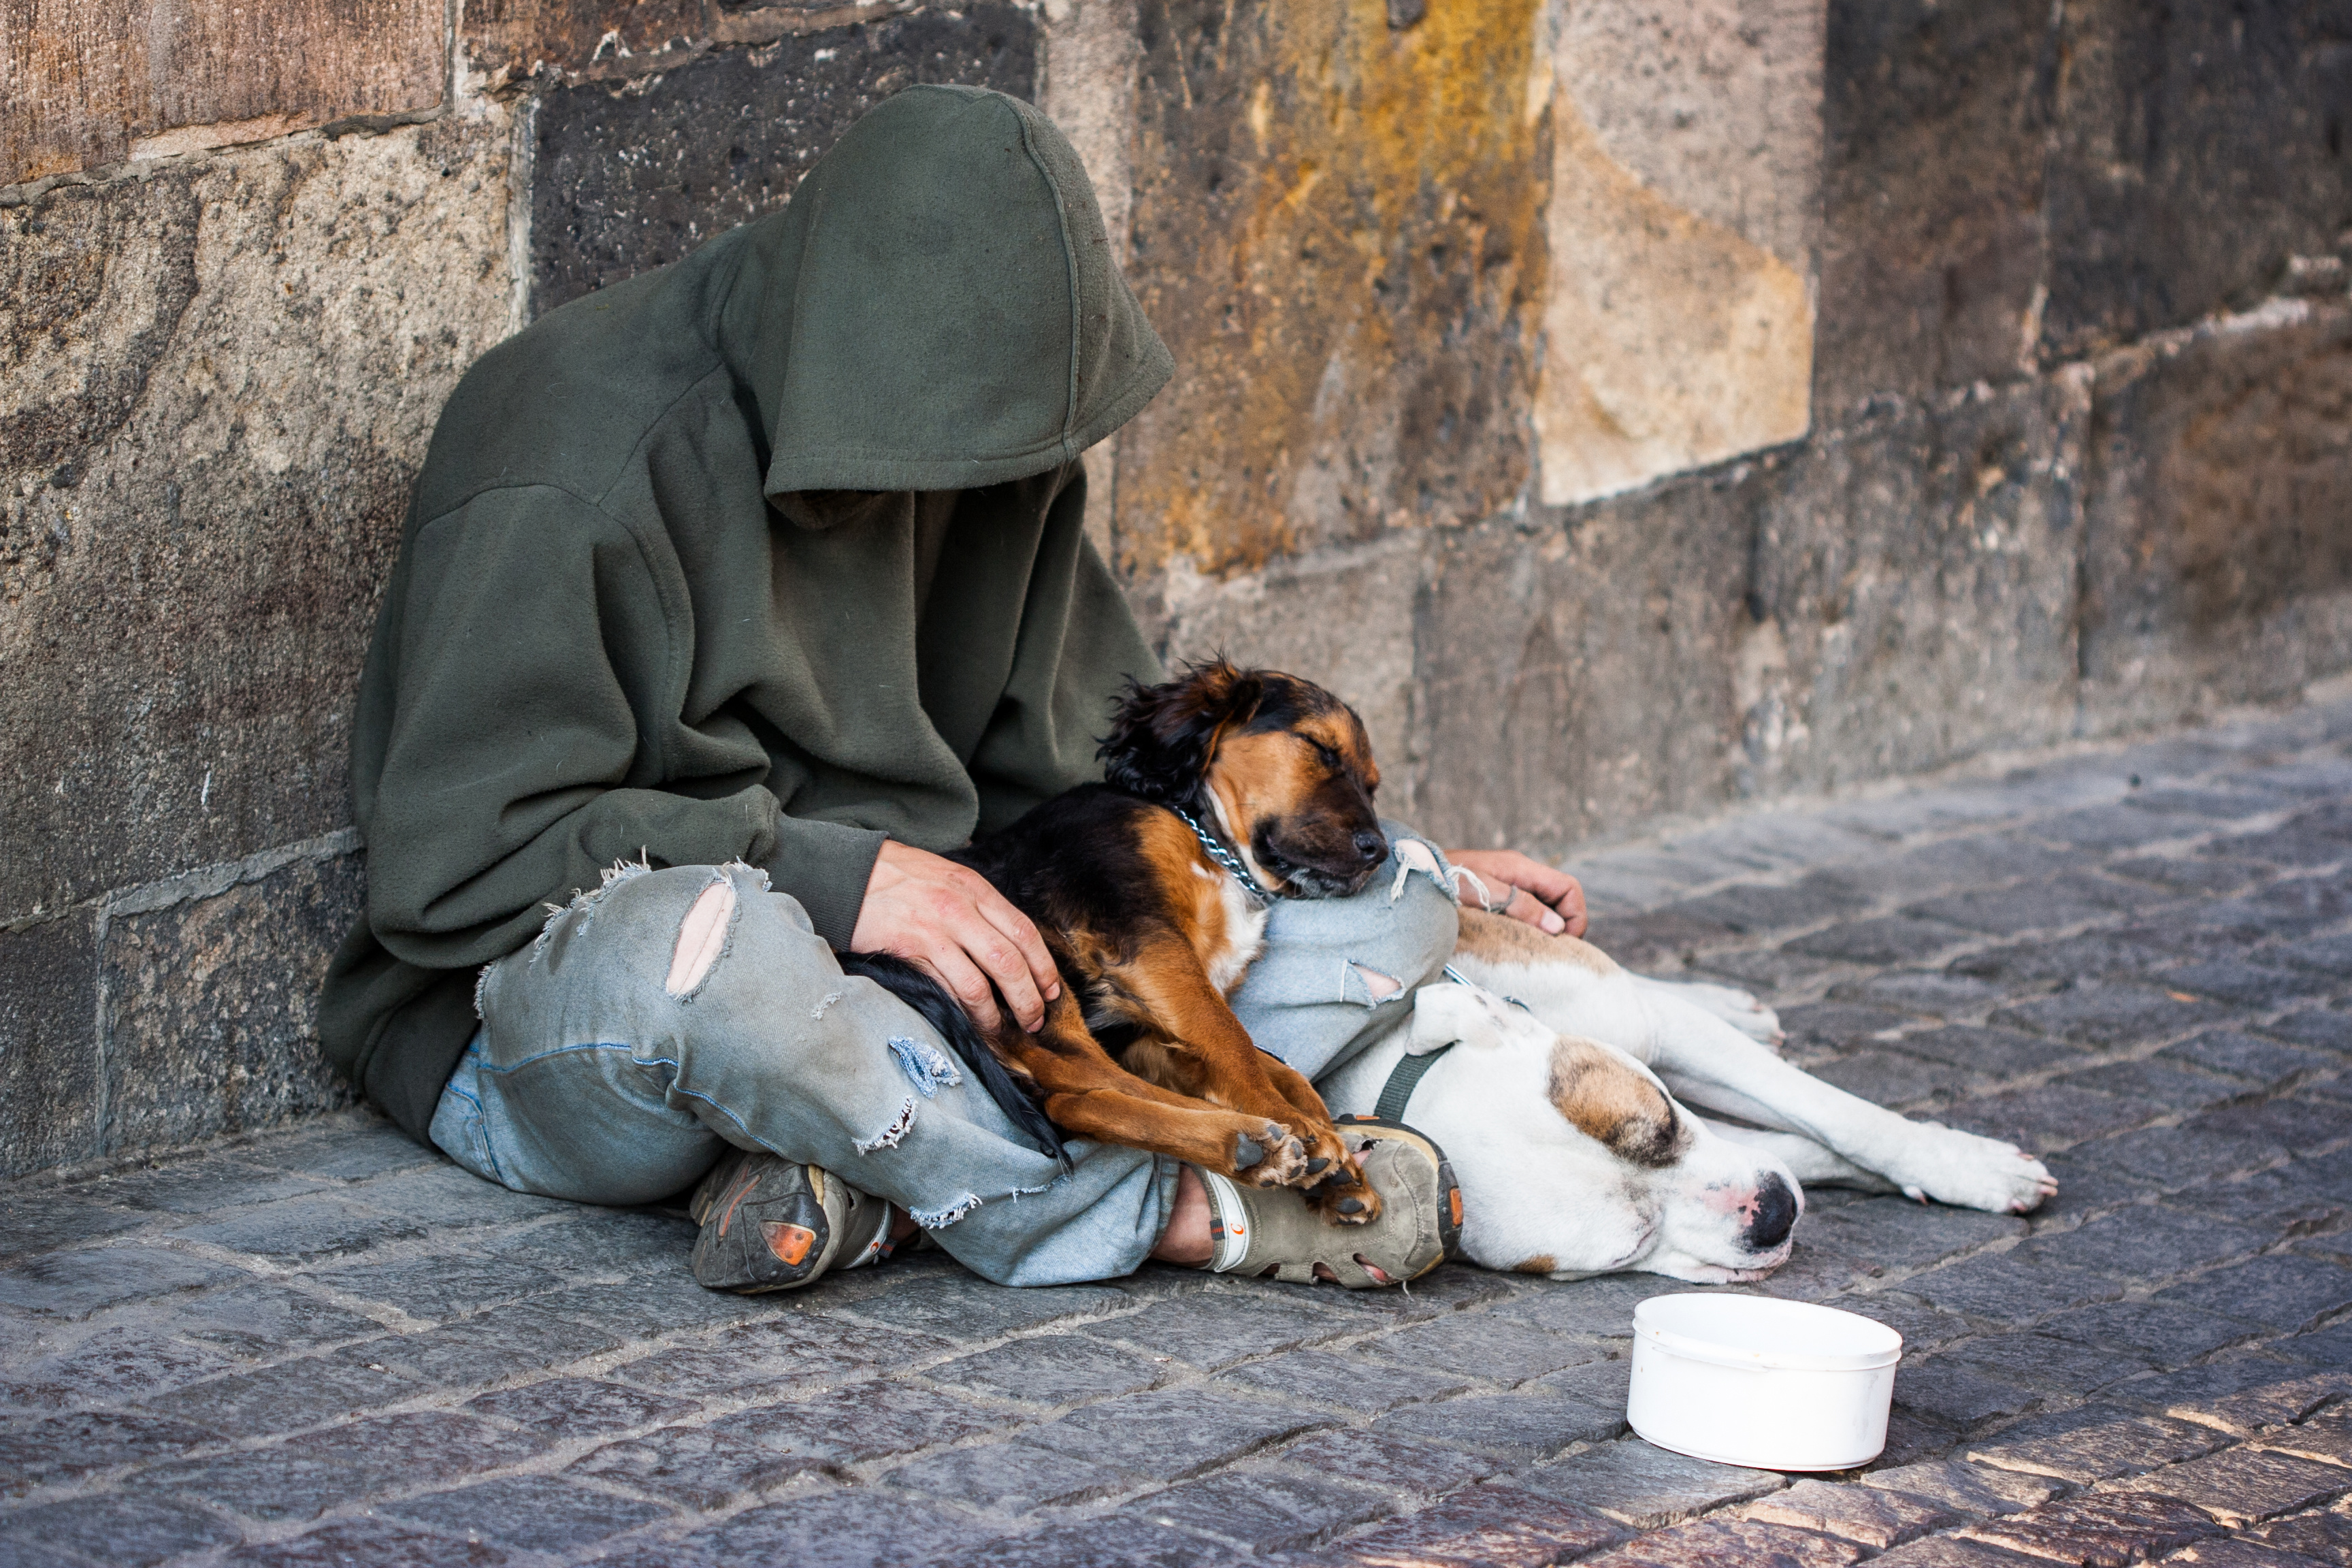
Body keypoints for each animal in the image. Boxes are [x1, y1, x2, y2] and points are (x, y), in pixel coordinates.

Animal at [847, 663, 1383, 1222]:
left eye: (1372, 786)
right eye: (1320, 749)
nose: (1380, 852)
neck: (1207, 840)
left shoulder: (1144, 1022)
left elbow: (1273, 1064)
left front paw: (1322, 1137)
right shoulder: (1141, 937)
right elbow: (1233, 1041)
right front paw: (1298, 1124)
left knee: (1078, 1101)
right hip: (1028, 973)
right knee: (1081, 1088)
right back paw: (1258, 1140)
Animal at [1326, 907, 2060, 1288]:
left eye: (1668, 1122)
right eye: (1631, 1246)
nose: (1771, 1215)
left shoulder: (1657, 1032)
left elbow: (1838, 1116)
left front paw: (1969, 1167)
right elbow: (1803, 1147)